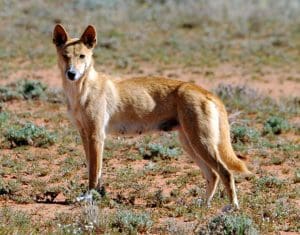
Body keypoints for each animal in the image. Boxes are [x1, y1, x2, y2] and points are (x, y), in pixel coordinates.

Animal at [52, 24, 250, 209]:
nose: (71, 74)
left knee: (225, 172)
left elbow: (93, 172)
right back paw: (203, 205)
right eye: (65, 56)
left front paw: (90, 197)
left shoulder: (96, 136)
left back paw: (232, 207)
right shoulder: (85, 135)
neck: (81, 90)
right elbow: (94, 170)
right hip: (189, 144)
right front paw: (97, 195)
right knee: (213, 175)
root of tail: (206, 92)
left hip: (201, 143)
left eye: (82, 56)